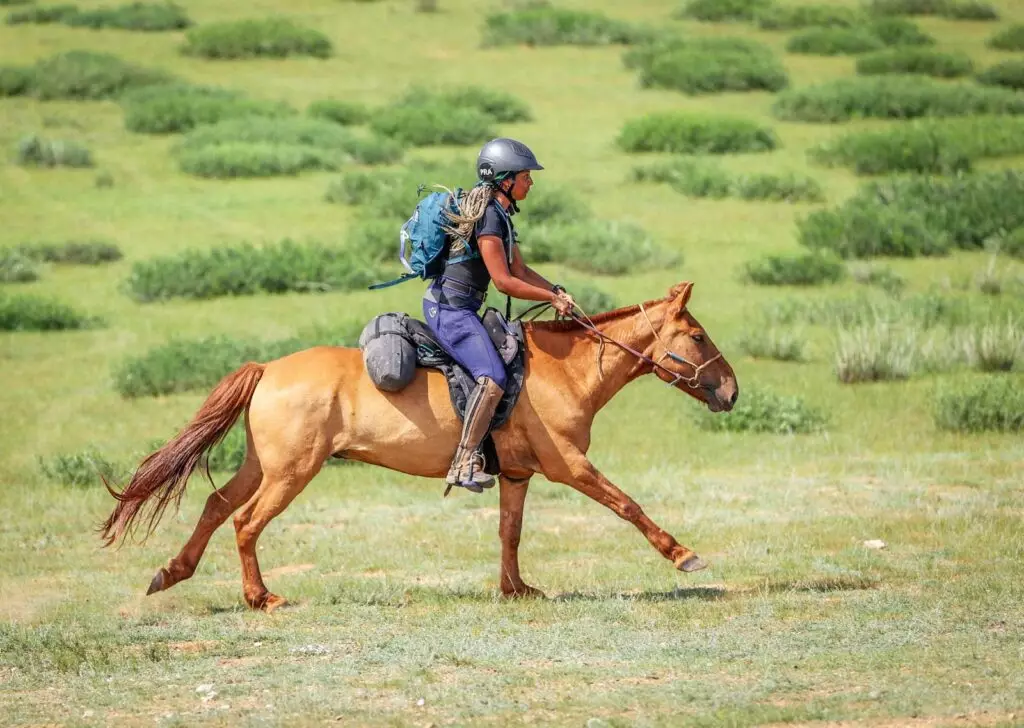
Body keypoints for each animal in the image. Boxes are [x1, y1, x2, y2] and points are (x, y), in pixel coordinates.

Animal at [101, 282, 737, 610]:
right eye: (698, 335)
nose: (731, 390)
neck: (566, 370)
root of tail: (267, 369)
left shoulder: (518, 475)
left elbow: (510, 532)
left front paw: (517, 590)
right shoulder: (570, 467)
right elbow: (628, 504)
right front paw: (684, 555)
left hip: (264, 466)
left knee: (216, 506)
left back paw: (170, 573)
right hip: (292, 473)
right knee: (246, 523)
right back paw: (262, 598)